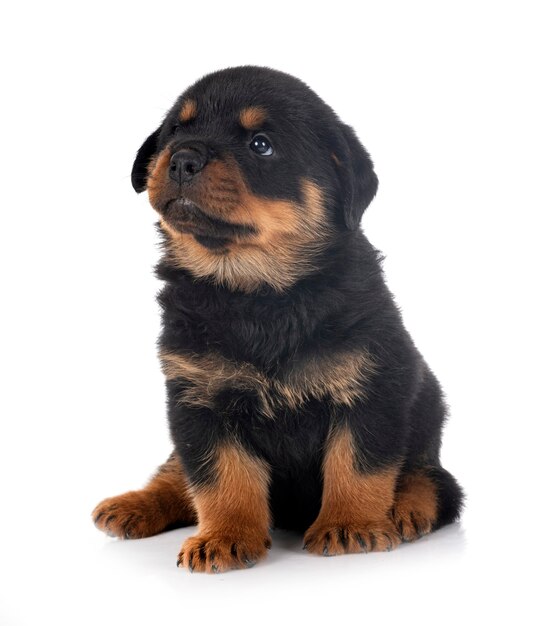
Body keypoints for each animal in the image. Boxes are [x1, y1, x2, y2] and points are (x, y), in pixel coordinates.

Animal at [93, 64, 464, 572]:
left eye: (261, 144)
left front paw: (349, 524)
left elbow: (357, 464)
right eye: (177, 131)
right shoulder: (197, 400)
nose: (183, 158)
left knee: (434, 480)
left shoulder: (373, 386)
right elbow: (219, 477)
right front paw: (225, 536)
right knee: (175, 474)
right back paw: (133, 505)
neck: (257, 293)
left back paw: (409, 508)